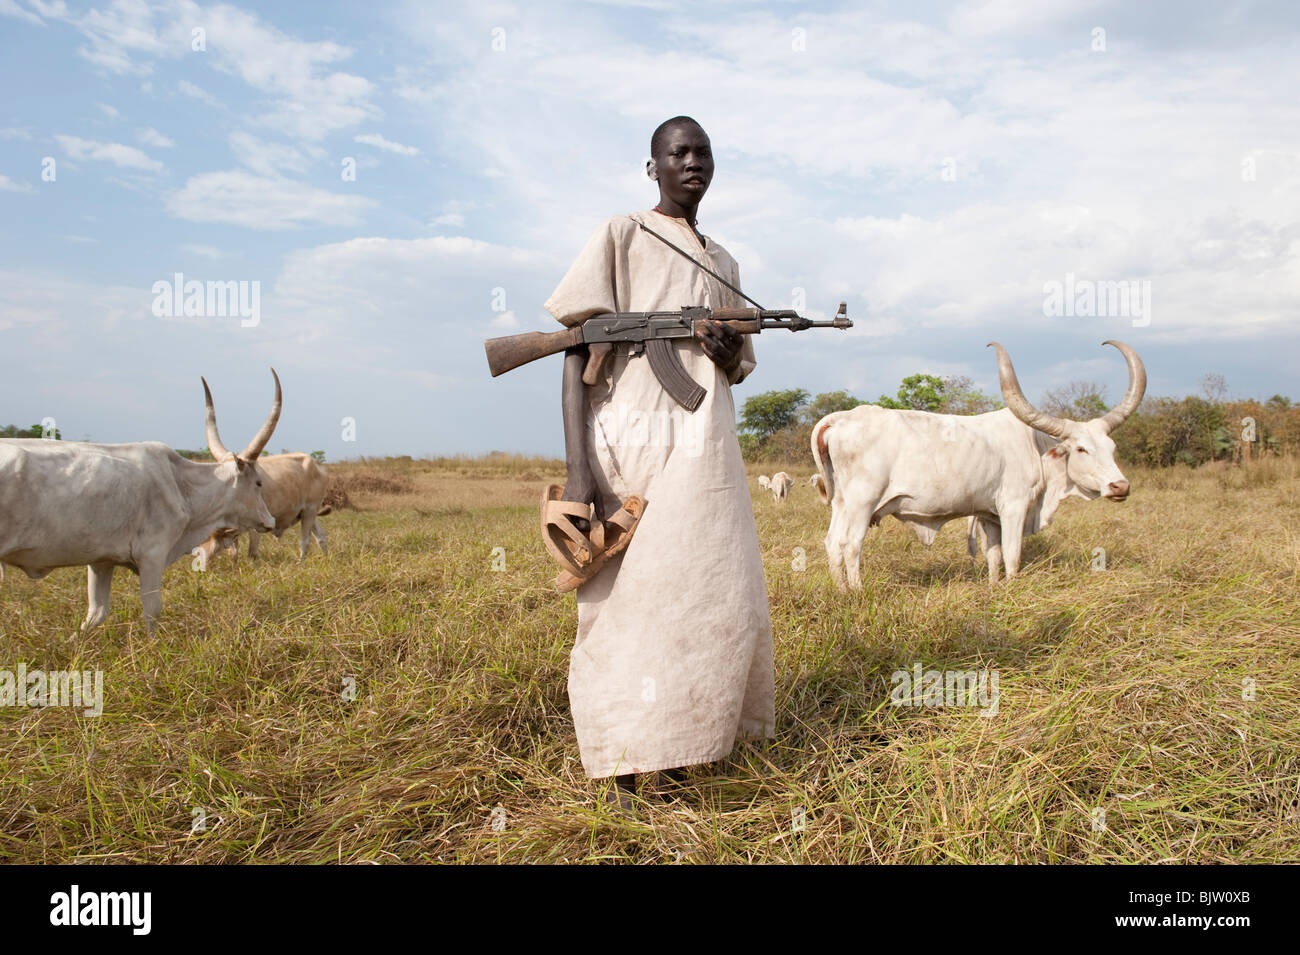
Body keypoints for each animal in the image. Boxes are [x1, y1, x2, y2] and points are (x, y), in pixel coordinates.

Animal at [0, 369, 284, 631]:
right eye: (258, 483)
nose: (270, 520)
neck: (182, 485)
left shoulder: (101, 561)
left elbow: (95, 614)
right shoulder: (152, 555)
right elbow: (152, 611)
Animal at [811, 340, 1149, 587]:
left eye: (1112, 448)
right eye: (1081, 449)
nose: (1120, 486)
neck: (1037, 447)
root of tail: (840, 418)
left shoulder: (989, 516)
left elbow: (994, 556)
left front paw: (994, 587)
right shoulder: (1013, 506)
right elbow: (1012, 556)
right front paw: (1011, 589)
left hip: (842, 503)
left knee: (832, 543)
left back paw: (841, 591)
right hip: (862, 503)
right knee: (851, 545)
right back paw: (857, 593)